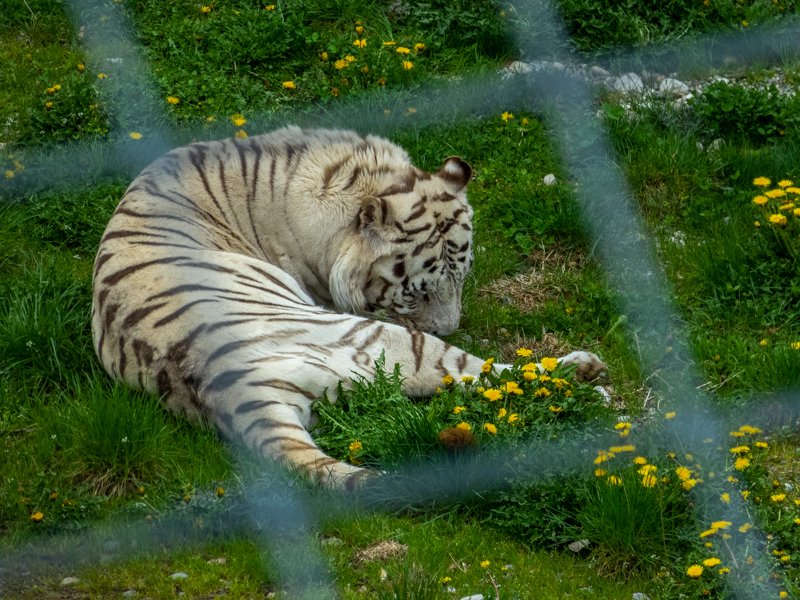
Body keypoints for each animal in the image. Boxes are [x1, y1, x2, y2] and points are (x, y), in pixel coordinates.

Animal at [91, 126, 605, 489]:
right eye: (416, 293)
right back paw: (585, 374)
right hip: (380, 340)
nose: (450, 329)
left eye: (460, 278)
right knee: (484, 373)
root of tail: (230, 387)